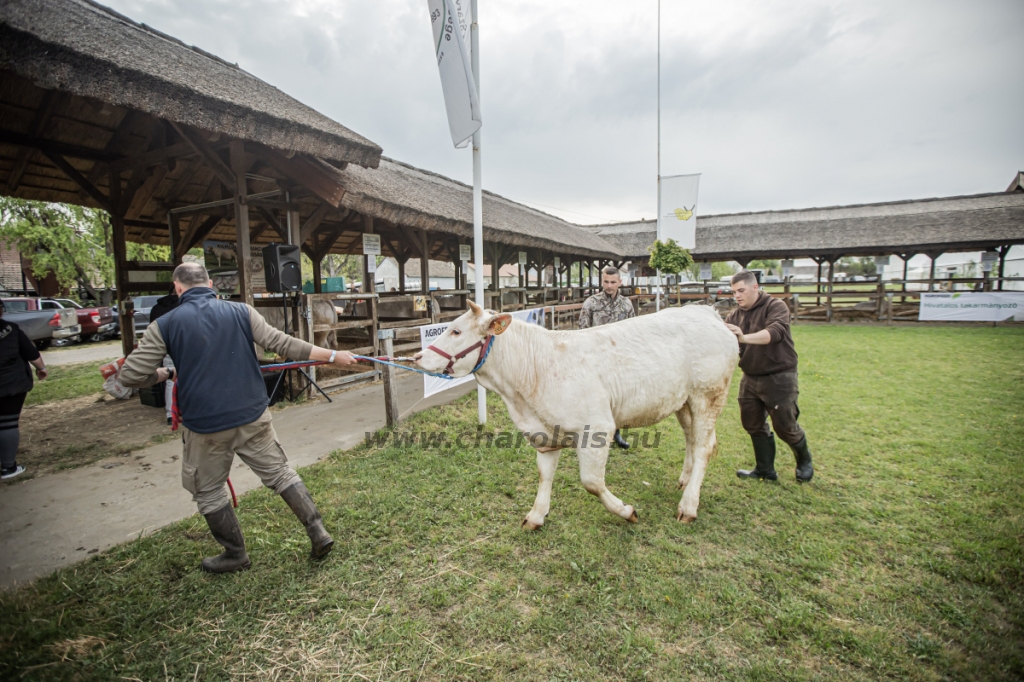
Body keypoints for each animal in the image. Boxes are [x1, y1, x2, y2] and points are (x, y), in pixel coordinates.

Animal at [411, 301, 741, 528]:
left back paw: (689, 505)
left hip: (708, 395)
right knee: (691, 439)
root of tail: (706, 312)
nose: (417, 356)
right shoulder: (545, 433)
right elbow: (544, 475)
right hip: (683, 402)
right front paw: (536, 515)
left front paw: (626, 511)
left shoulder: (597, 428)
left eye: (456, 330)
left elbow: (591, 482)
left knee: (704, 446)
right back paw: (684, 481)